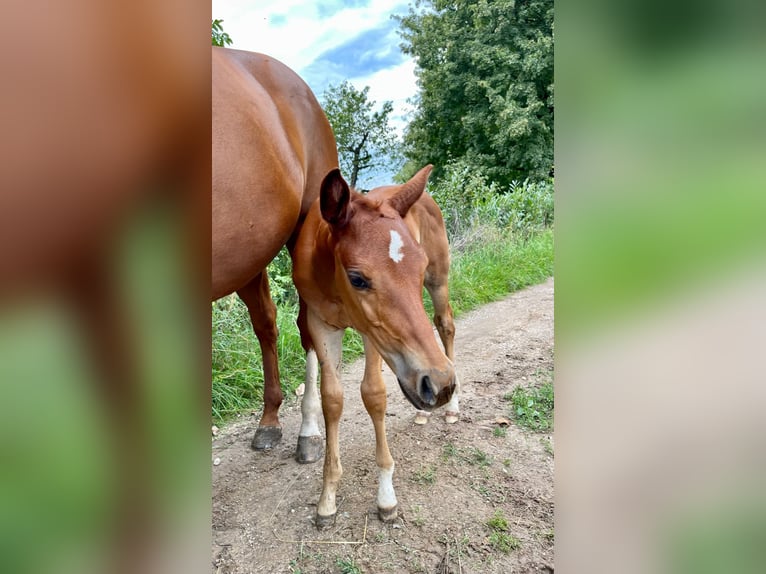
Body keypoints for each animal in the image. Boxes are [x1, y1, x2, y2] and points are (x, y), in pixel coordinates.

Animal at [212, 47, 339, 454]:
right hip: (246, 257)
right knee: (266, 323)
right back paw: (269, 420)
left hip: (306, 231)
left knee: (307, 325)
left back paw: (309, 429)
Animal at [292, 164, 458, 528]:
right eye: (357, 278)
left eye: (418, 266)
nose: (440, 385)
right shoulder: (321, 324)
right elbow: (332, 399)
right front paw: (327, 500)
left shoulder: (371, 331)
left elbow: (373, 394)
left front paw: (386, 498)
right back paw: (425, 411)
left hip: (439, 281)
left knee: (445, 326)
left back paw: (453, 409)